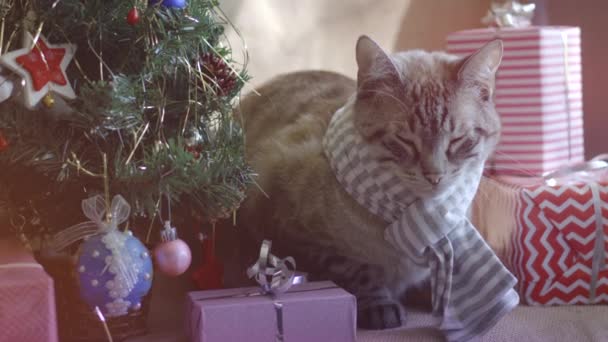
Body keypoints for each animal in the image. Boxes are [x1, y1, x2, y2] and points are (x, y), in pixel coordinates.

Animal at [238, 36, 504, 328]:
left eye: (458, 140)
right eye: (405, 141)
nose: (434, 175)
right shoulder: (287, 226)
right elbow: (355, 269)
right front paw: (380, 304)